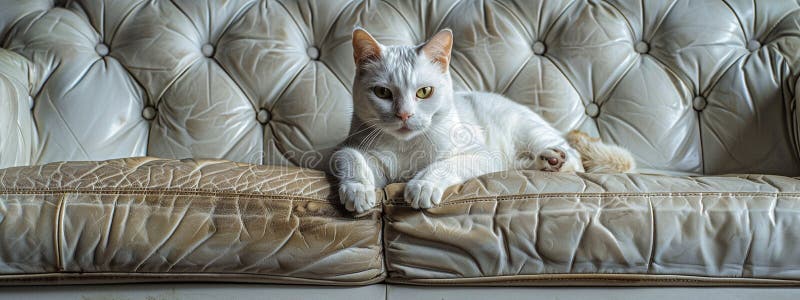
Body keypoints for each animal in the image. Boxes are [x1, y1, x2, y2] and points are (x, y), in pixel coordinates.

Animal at [328, 27, 636, 211]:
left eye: (424, 92)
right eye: (382, 92)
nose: (404, 114)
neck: (406, 147)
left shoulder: (480, 155)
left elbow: (444, 165)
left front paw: (422, 185)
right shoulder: (346, 149)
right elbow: (351, 158)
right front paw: (358, 192)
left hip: (528, 132)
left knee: (576, 160)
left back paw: (555, 159)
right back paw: (545, 162)